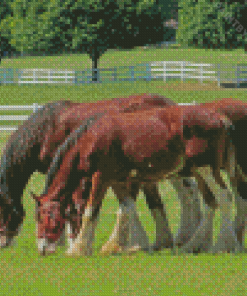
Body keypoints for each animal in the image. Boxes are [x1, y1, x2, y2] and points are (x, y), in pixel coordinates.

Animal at [31, 105, 238, 256]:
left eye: (44, 216)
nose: (42, 248)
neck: (91, 138)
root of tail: (219, 117)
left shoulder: (101, 177)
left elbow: (91, 211)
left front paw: (78, 249)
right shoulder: (117, 180)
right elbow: (127, 209)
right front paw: (125, 245)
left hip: (207, 169)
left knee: (224, 198)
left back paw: (222, 245)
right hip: (200, 172)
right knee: (210, 202)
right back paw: (195, 245)